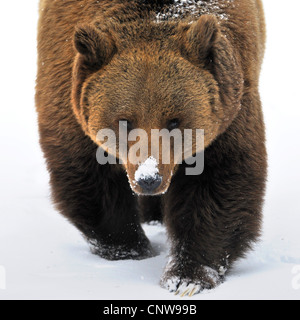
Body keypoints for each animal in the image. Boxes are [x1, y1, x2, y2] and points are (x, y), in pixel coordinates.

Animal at [35, 0, 268, 296]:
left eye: (174, 120)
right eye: (124, 120)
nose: (149, 179)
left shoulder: (229, 108)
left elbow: (220, 182)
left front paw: (186, 276)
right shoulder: (68, 91)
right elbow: (89, 174)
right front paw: (129, 247)